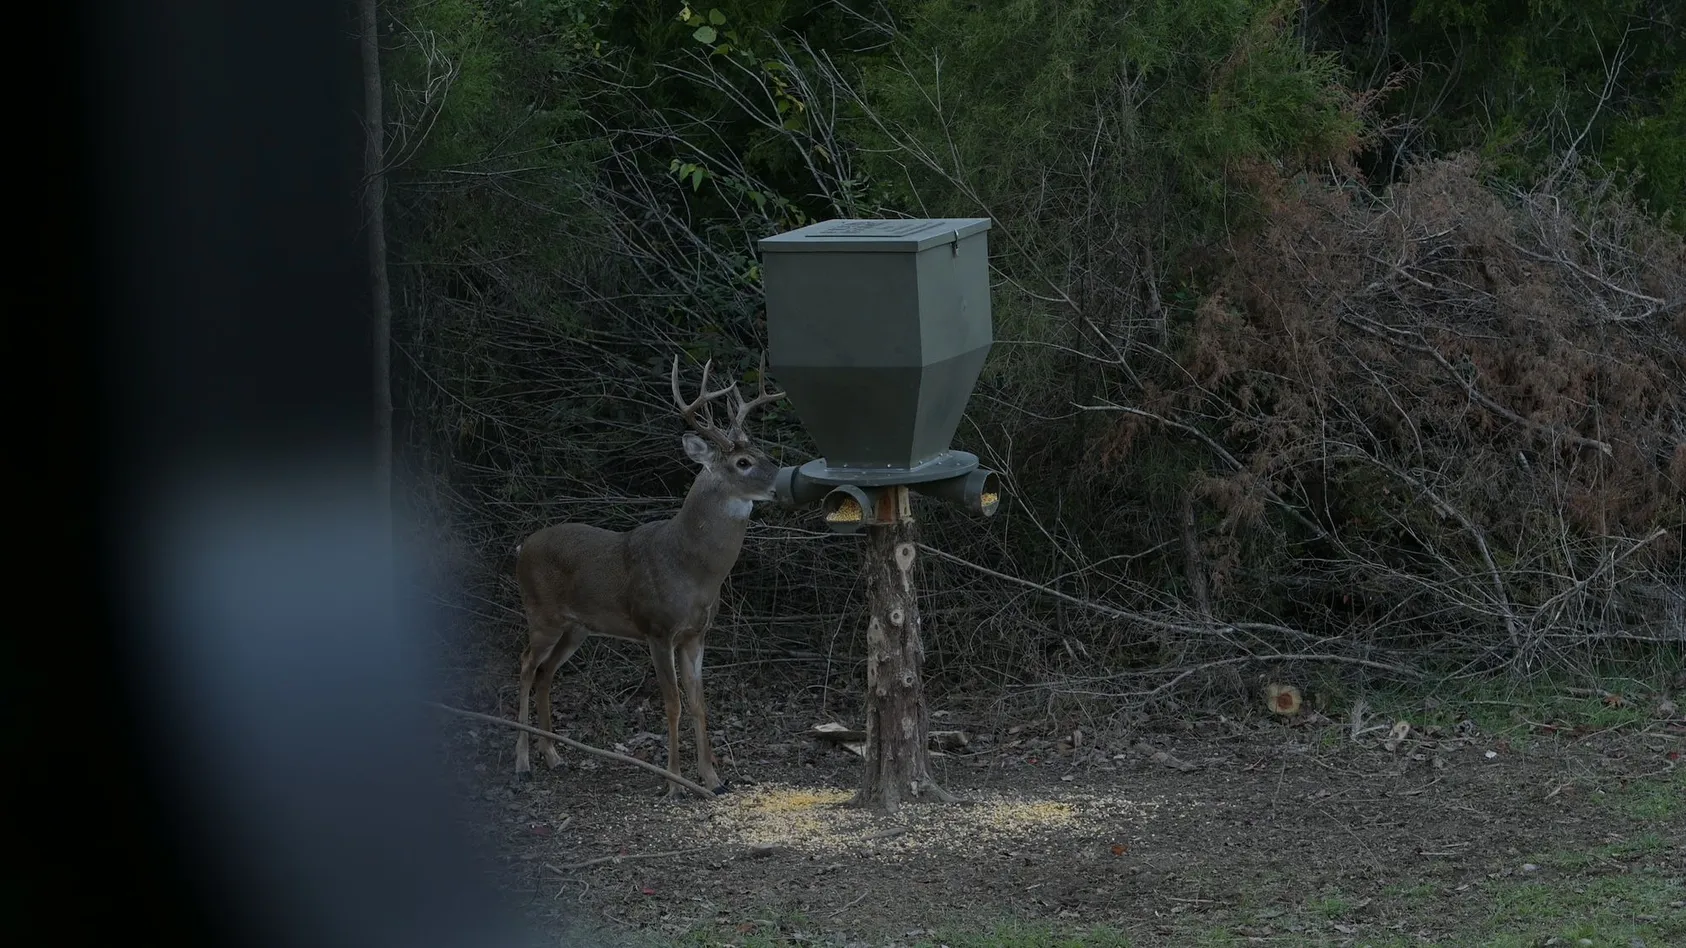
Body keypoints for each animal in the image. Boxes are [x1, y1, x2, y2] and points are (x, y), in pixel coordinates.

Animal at [512, 353, 786, 798]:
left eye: (762, 452)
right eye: (742, 463)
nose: (782, 483)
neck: (692, 571)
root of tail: (522, 548)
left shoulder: (696, 634)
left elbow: (698, 702)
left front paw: (714, 780)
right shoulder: (657, 629)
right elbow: (672, 702)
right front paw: (674, 781)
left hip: (577, 628)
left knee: (545, 672)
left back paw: (554, 756)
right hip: (541, 614)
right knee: (523, 666)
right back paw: (522, 764)